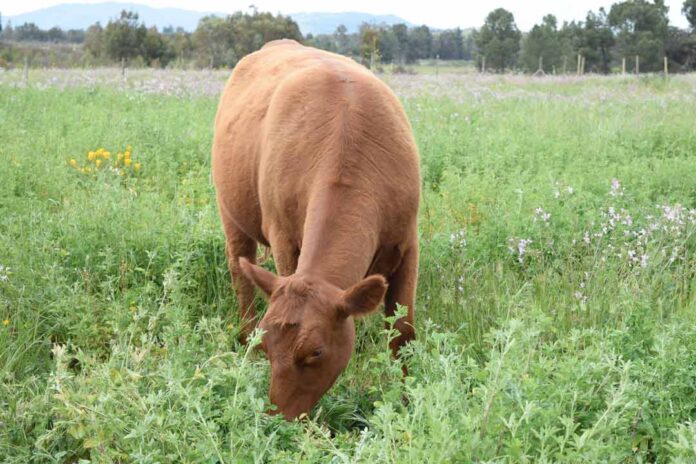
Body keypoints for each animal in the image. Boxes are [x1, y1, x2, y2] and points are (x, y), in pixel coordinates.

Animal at [211, 40, 418, 418]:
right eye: (267, 346)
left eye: (316, 352)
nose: (278, 417)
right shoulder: (283, 238)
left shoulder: (408, 241)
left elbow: (402, 330)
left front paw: (407, 399)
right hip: (230, 211)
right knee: (239, 271)